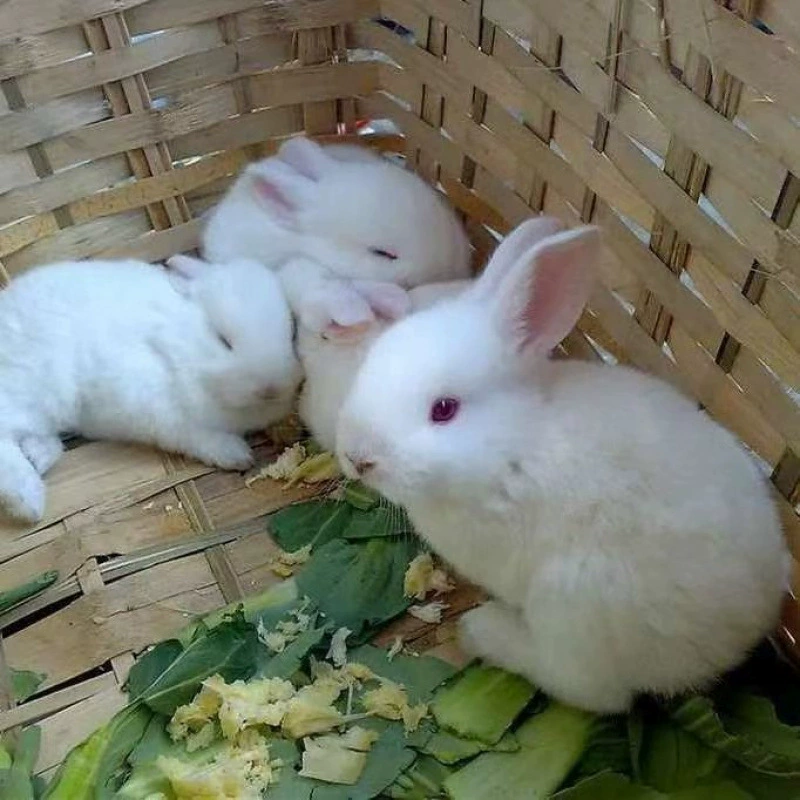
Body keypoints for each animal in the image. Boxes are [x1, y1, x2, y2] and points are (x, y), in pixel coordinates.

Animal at [0, 255, 300, 523]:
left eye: (291, 334)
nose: (271, 389)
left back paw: (37, 457)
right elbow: (197, 437)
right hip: (35, 390)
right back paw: (29, 504)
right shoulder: (159, 411)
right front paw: (237, 456)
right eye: (223, 340)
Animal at [335, 216, 789, 714]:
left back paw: (483, 632)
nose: (356, 457)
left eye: (444, 409)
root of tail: (751, 623)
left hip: (572, 604)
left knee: (590, 689)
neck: (510, 448)